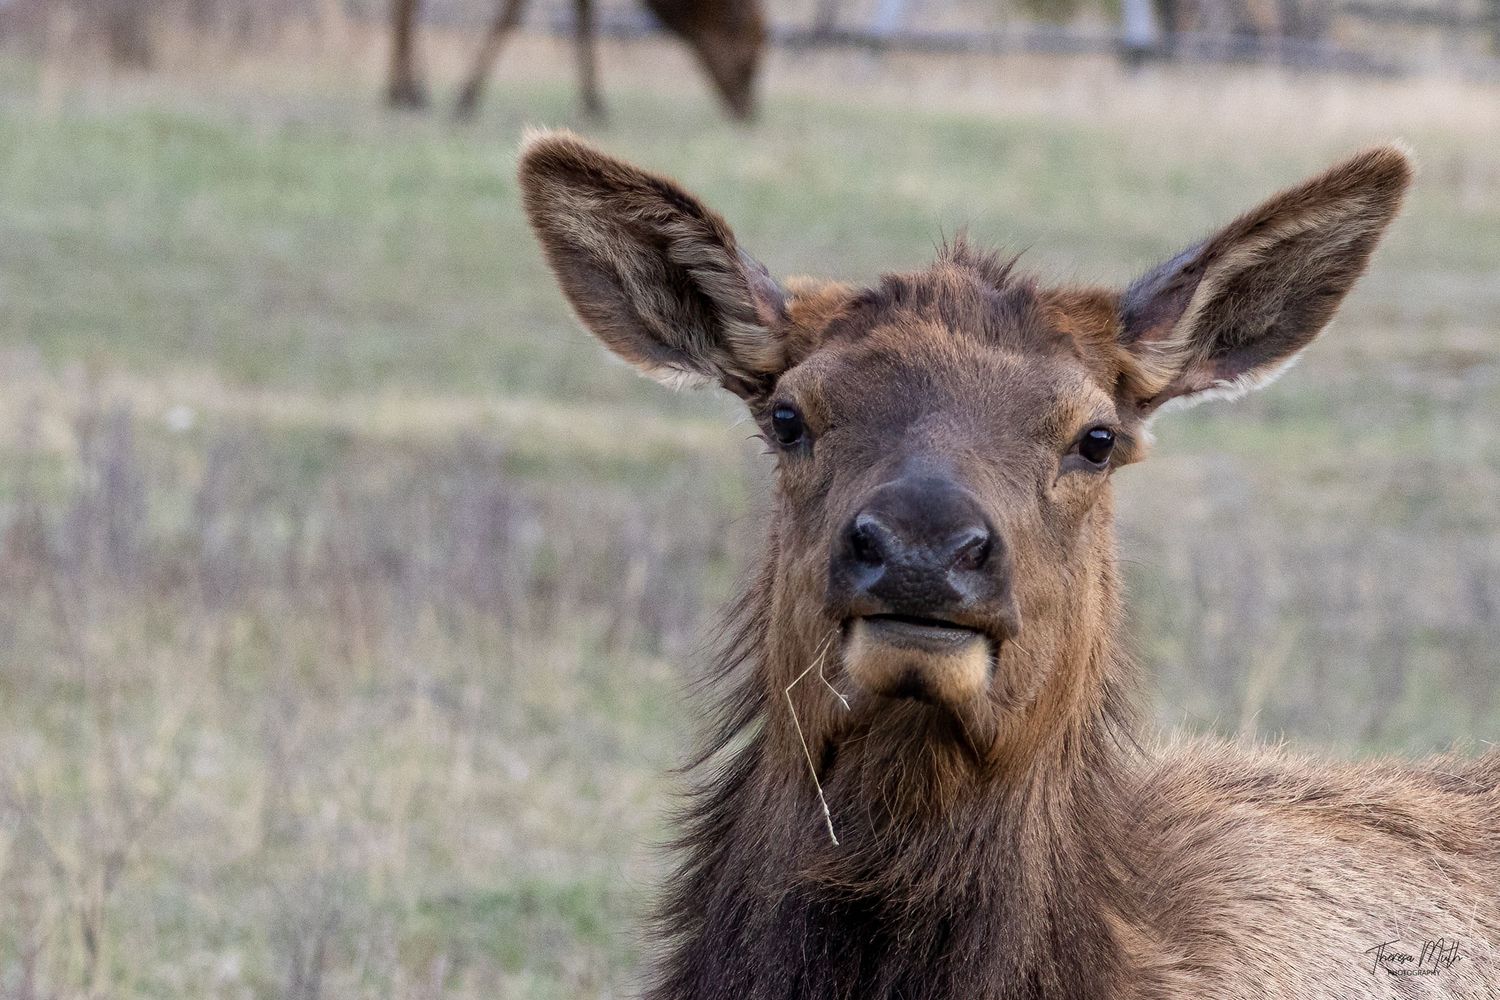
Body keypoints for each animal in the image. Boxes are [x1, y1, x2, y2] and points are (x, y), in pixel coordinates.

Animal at [387, 0, 765, 121]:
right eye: (749, 62)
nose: (748, 113)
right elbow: (512, 14)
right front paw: (465, 98)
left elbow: (583, 14)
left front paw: (593, 103)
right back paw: (404, 92)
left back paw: (407, 90)